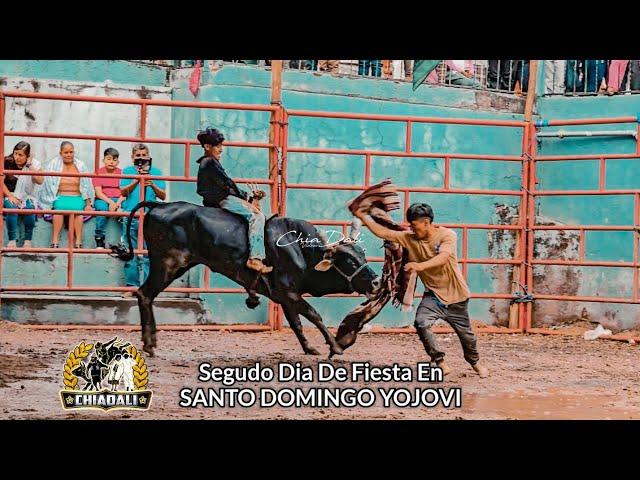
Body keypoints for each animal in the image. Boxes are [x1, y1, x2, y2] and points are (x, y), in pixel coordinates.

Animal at [110, 202, 382, 356]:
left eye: (362, 254)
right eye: (350, 261)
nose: (376, 282)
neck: (299, 248)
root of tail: (158, 206)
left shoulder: (283, 296)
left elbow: (296, 323)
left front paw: (309, 348)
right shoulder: (290, 292)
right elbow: (314, 316)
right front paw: (335, 346)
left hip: (174, 266)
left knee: (146, 295)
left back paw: (151, 341)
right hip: (168, 264)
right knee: (145, 294)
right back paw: (149, 343)